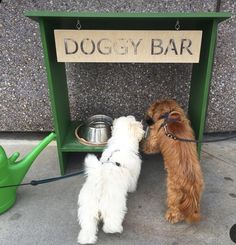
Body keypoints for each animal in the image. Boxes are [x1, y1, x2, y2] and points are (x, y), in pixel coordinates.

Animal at [77, 116, 144, 244]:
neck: (122, 143)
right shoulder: (134, 175)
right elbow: (133, 184)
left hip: (87, 208)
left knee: (88, 225)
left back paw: (86, 238)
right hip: (113, 205)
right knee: (111, 222)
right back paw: (115, 229)